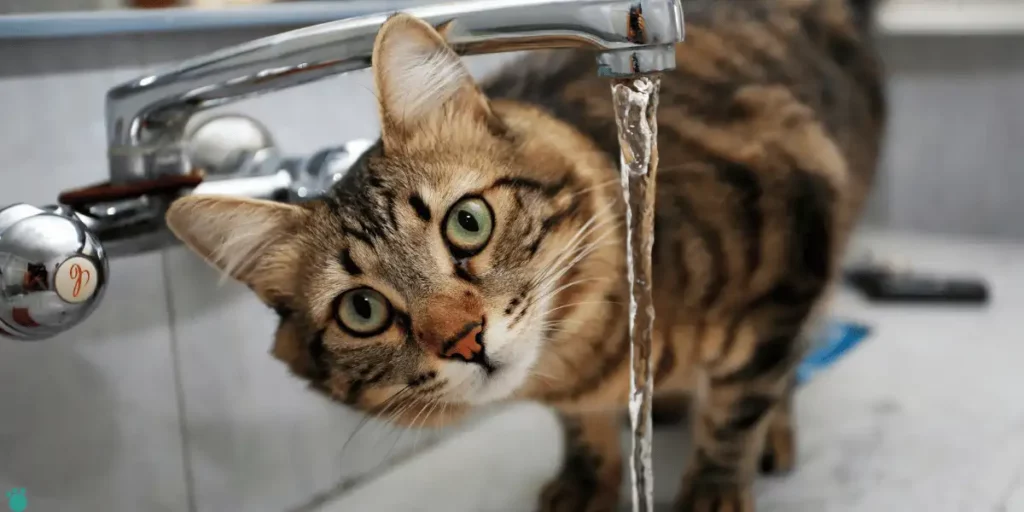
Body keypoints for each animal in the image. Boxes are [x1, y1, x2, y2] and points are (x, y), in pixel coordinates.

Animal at [163, 0, 884, 507]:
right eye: (362, 311)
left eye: (468, 223)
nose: (464, 340)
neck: (592, 360)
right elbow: (582, 429)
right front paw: (586, 480)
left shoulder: (797, 243)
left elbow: (738, 410)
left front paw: (713, 491)